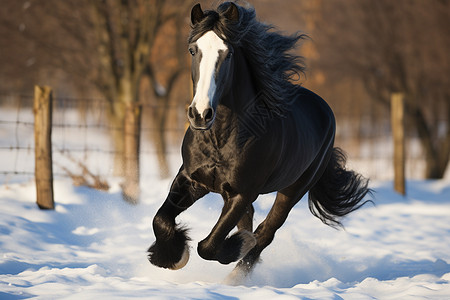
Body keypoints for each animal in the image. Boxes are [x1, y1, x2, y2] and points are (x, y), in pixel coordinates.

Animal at [148, 1, 370, 276]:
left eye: (228, 53)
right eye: (192, 50)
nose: (200, 114)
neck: (220, 139)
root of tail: (323, 108)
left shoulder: (243, 193)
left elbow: (209, 246)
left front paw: (237, 245)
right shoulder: (191, 179)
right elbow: (161, 219)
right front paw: (171, 257)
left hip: (293, 190)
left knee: (266, 232)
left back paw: (237, 274)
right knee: (251, 222)